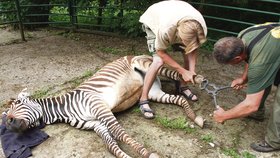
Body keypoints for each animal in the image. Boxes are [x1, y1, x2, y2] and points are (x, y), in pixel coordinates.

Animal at [4, 55, 205, 158]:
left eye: (18, 103)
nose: (7, 123)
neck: (66, 109)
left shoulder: (100, 108)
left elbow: (120, 134)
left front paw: (147, 154)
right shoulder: (96, 124)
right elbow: (111, 145)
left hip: (149, 65)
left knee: (176, 73)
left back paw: (197, 79)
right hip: (152, 91)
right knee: (179, 99)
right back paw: (195, 117)